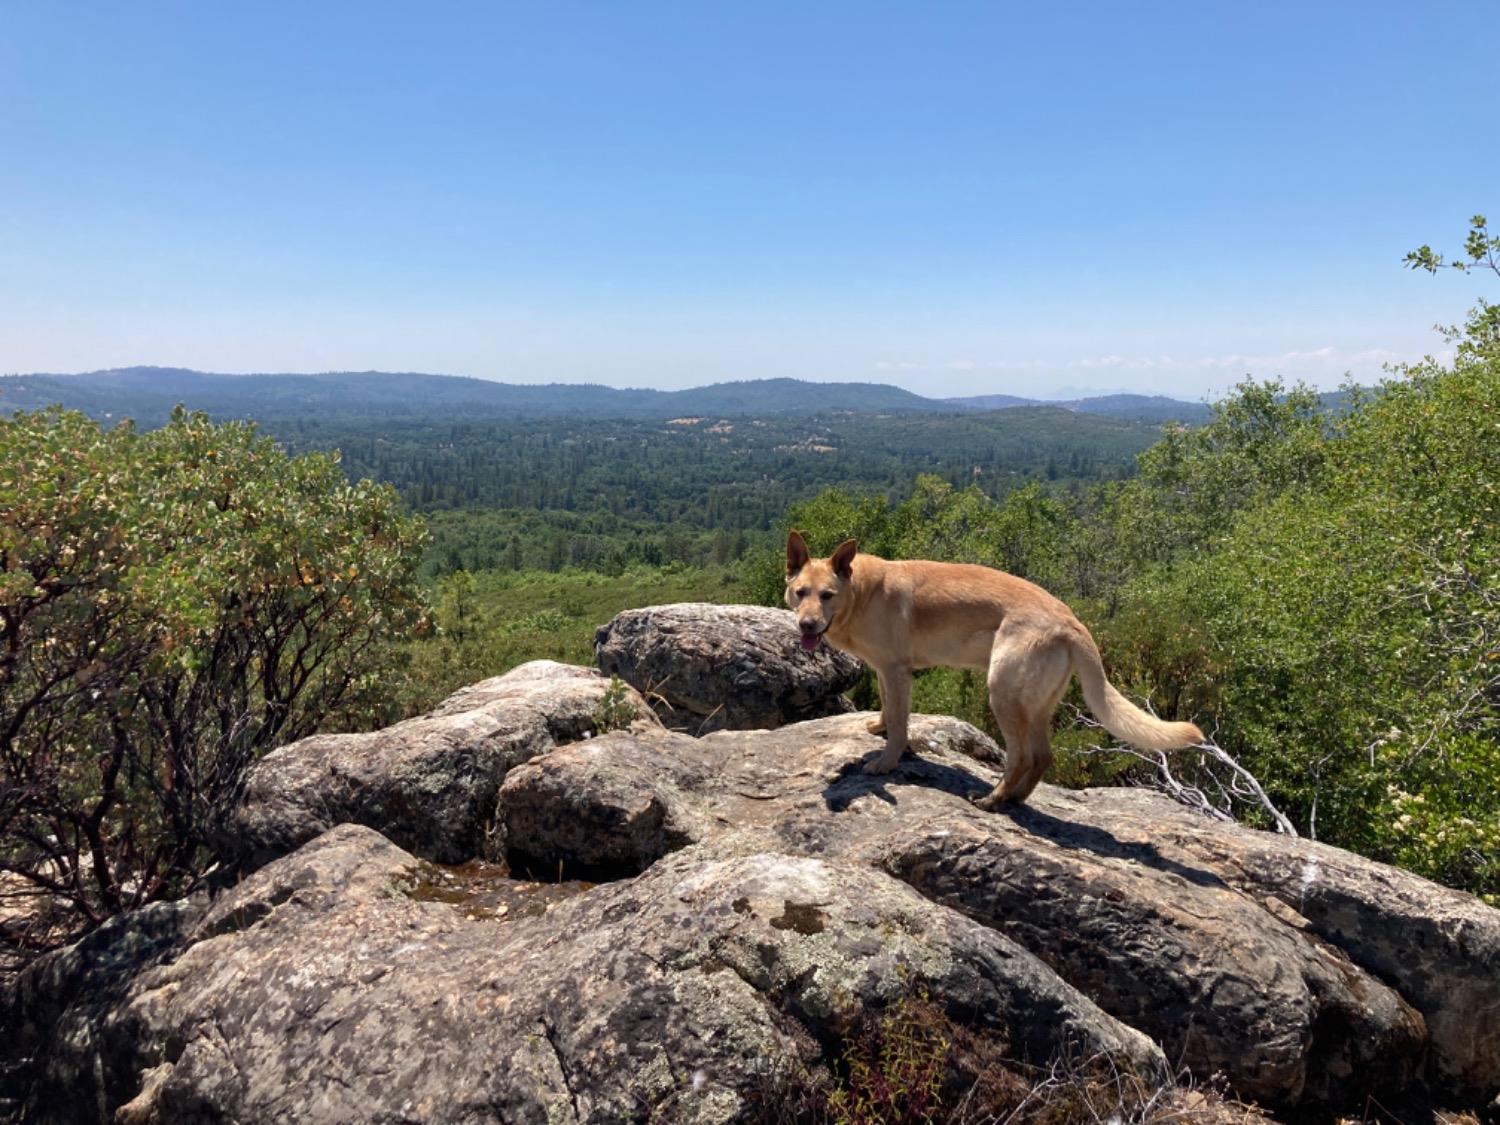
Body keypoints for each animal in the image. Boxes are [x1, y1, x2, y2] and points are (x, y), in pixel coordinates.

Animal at [792, 534, 1200, 804]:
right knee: (1043, 757)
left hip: (1002, 694)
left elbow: (899, 724)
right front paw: (878, 726)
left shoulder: (896, 671)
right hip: (1035, 706)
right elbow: (887, 709)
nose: (807, 625)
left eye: (827, 595)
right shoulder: (885, 671)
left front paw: (886, 762)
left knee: (1021, 757)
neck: (861, 593)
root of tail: (1071, 622)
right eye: (800, 593)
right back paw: (1014, 800)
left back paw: (992, 800)